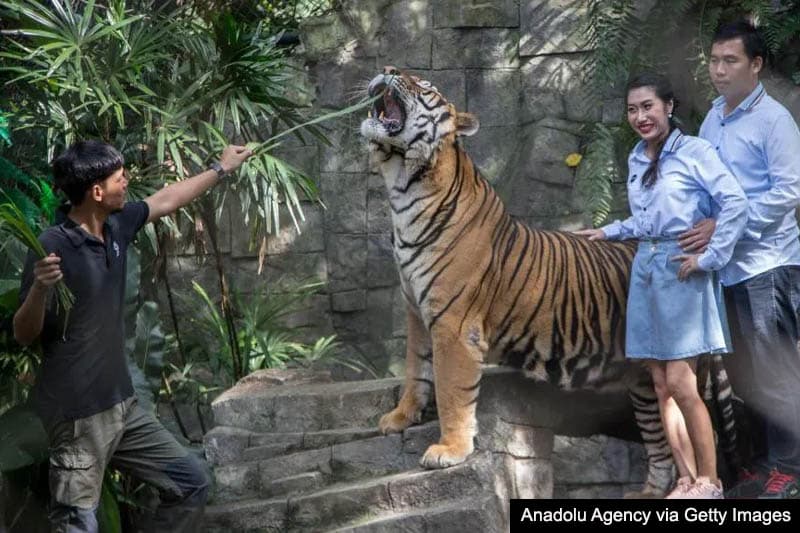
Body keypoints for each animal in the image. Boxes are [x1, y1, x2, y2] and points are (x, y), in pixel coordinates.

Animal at [359, 66, 739, 497]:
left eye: (424, 85)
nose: (387, 69)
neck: (405, 188)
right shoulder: (417, 313)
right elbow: (415, 369)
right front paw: (400, 417)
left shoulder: (454, 327)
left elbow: (451, 389)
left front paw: (449, 449)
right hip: (643, 380)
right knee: (660, 438)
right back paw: (648, 492)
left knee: (702, 428)